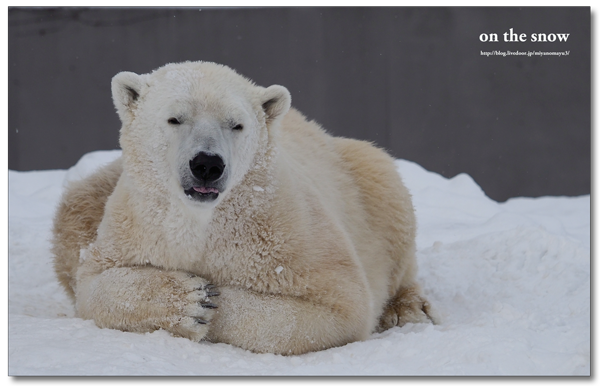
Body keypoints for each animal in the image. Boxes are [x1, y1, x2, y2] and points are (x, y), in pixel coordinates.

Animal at [51, 59, 436, 352]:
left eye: (236, 124)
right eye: (175, 118)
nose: (207, 164)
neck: (205, 219)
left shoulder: (289, 233)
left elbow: (339, 304)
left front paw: (207, 299)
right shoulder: (133, 225)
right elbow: (94, 285)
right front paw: (188, 300)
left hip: (365, 181)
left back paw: (409, 309)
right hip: (98, 188)